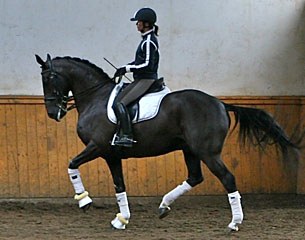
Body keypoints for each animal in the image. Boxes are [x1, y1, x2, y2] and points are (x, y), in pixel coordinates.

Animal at [35, 54, 300, 231]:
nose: (53, 113)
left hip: (208, 152)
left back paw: (234, 223)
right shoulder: (112, 154)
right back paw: (164, 205)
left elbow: (72, 165)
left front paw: (85, 201)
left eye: (49, 78)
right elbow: (119, 185)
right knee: (195, 177)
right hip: (190, 150)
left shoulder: (98, 147)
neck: (95, 98)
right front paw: (122, 219)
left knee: (227, 179)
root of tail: (220, 103)